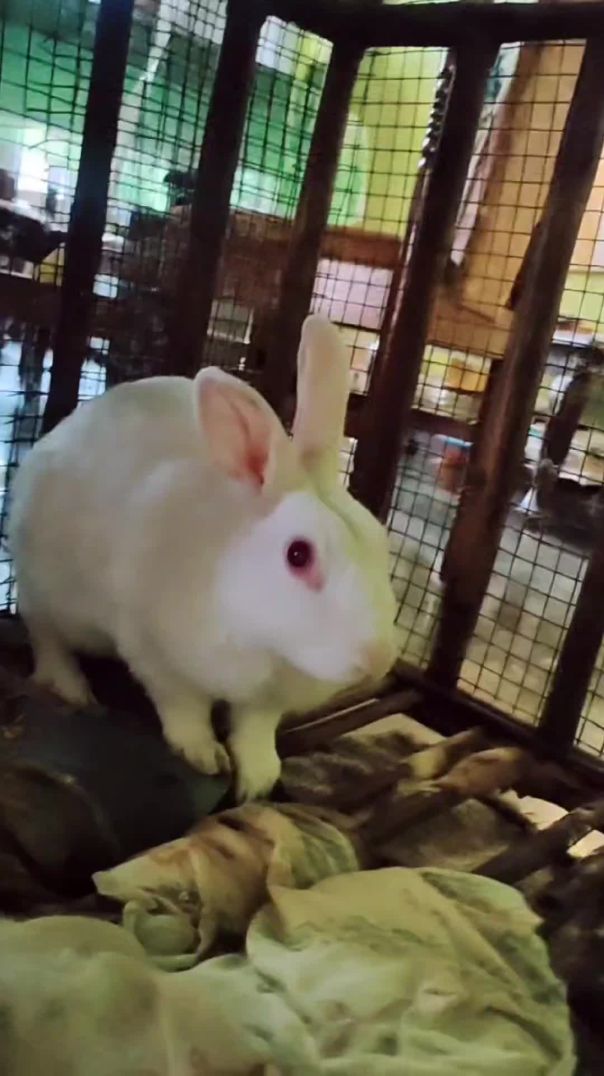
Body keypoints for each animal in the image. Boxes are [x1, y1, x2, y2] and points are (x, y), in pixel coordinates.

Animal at [9, 315, 398, 802]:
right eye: (298, 554)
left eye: (382, 544)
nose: (378, 658)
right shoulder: (157, 656)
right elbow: (184, 709)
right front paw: (204, 755)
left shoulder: (264, 699)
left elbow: (255, 730)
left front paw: (258, 780)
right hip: (42, 591)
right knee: (47, 638)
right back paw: (73, 690)